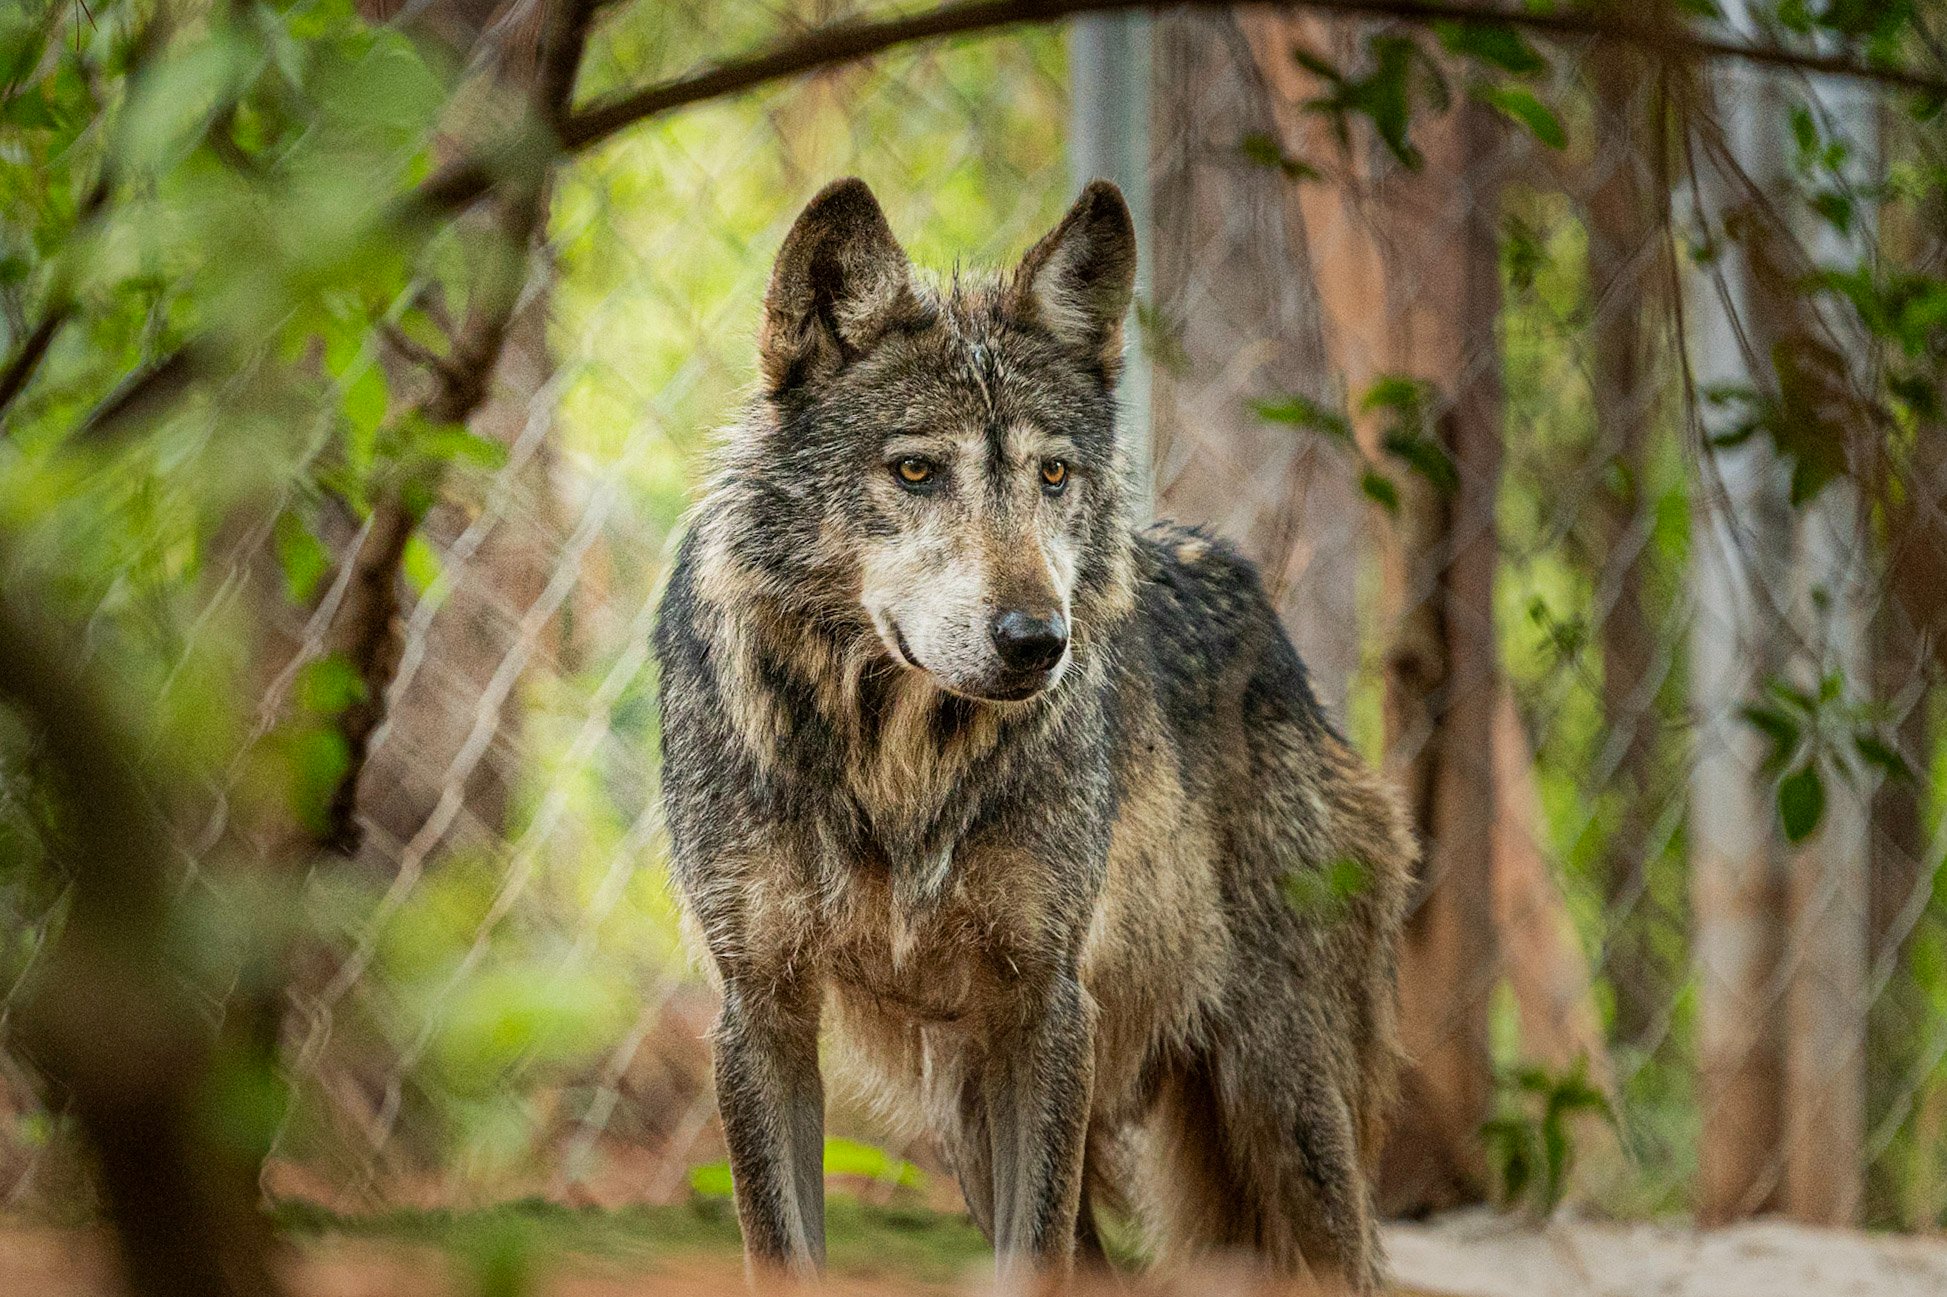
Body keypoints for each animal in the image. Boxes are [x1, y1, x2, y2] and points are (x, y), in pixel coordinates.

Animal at [652, 178, 1414, 1292]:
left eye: (1053, 476)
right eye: (916, 472)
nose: (1037, 641)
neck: (899, 764)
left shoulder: (1046, 1008)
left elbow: (1036, 1252)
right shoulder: (764, 1012)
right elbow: (783, 1248)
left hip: (1286, 1114)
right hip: (970, 1117)